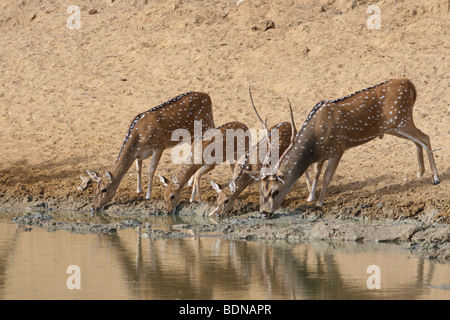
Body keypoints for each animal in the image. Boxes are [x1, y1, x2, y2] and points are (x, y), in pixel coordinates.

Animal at [88, 91, 216, 211]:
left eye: (104, 190)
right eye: (95, 188)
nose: (93, 207)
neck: (139, 137)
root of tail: (208, 96)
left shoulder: (158, 146)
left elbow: (151, 170)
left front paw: (148, 195)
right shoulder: (138, 154)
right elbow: (138, 169)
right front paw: (139, 190)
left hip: (205, 124)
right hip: (192, 135)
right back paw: (189, 182)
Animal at [255, 78, 442, 219]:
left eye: (275, 191)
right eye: (260, 191)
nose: (264, 213)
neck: (314, 144)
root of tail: (410, 83)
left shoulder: (338, 148)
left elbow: (327, 177)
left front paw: (319, 203)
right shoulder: (322, 154)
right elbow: (316, 173)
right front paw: (310, 198)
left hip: (401, 120)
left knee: (425, 137)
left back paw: (435, 178)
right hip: (395, 126)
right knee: (418, 141)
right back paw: (420, 173)